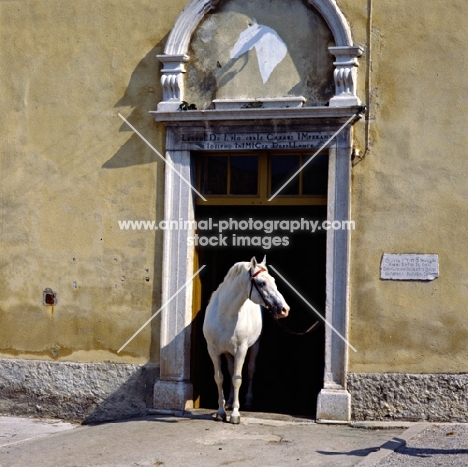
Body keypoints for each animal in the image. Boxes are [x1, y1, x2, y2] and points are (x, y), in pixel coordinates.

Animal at [204, 256, 290, 424]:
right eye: (262, 283)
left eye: (274, 280)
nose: (284, 309)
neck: (225, 314)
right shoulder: (213, 350)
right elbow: (220, 378)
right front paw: (221, 411)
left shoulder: (241, 350)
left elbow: (238, 379)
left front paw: (235, 414)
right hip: (228, 352)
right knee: (231, 370)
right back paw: (230, 401)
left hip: (254, 346)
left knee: (250, 369)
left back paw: (248, 401)